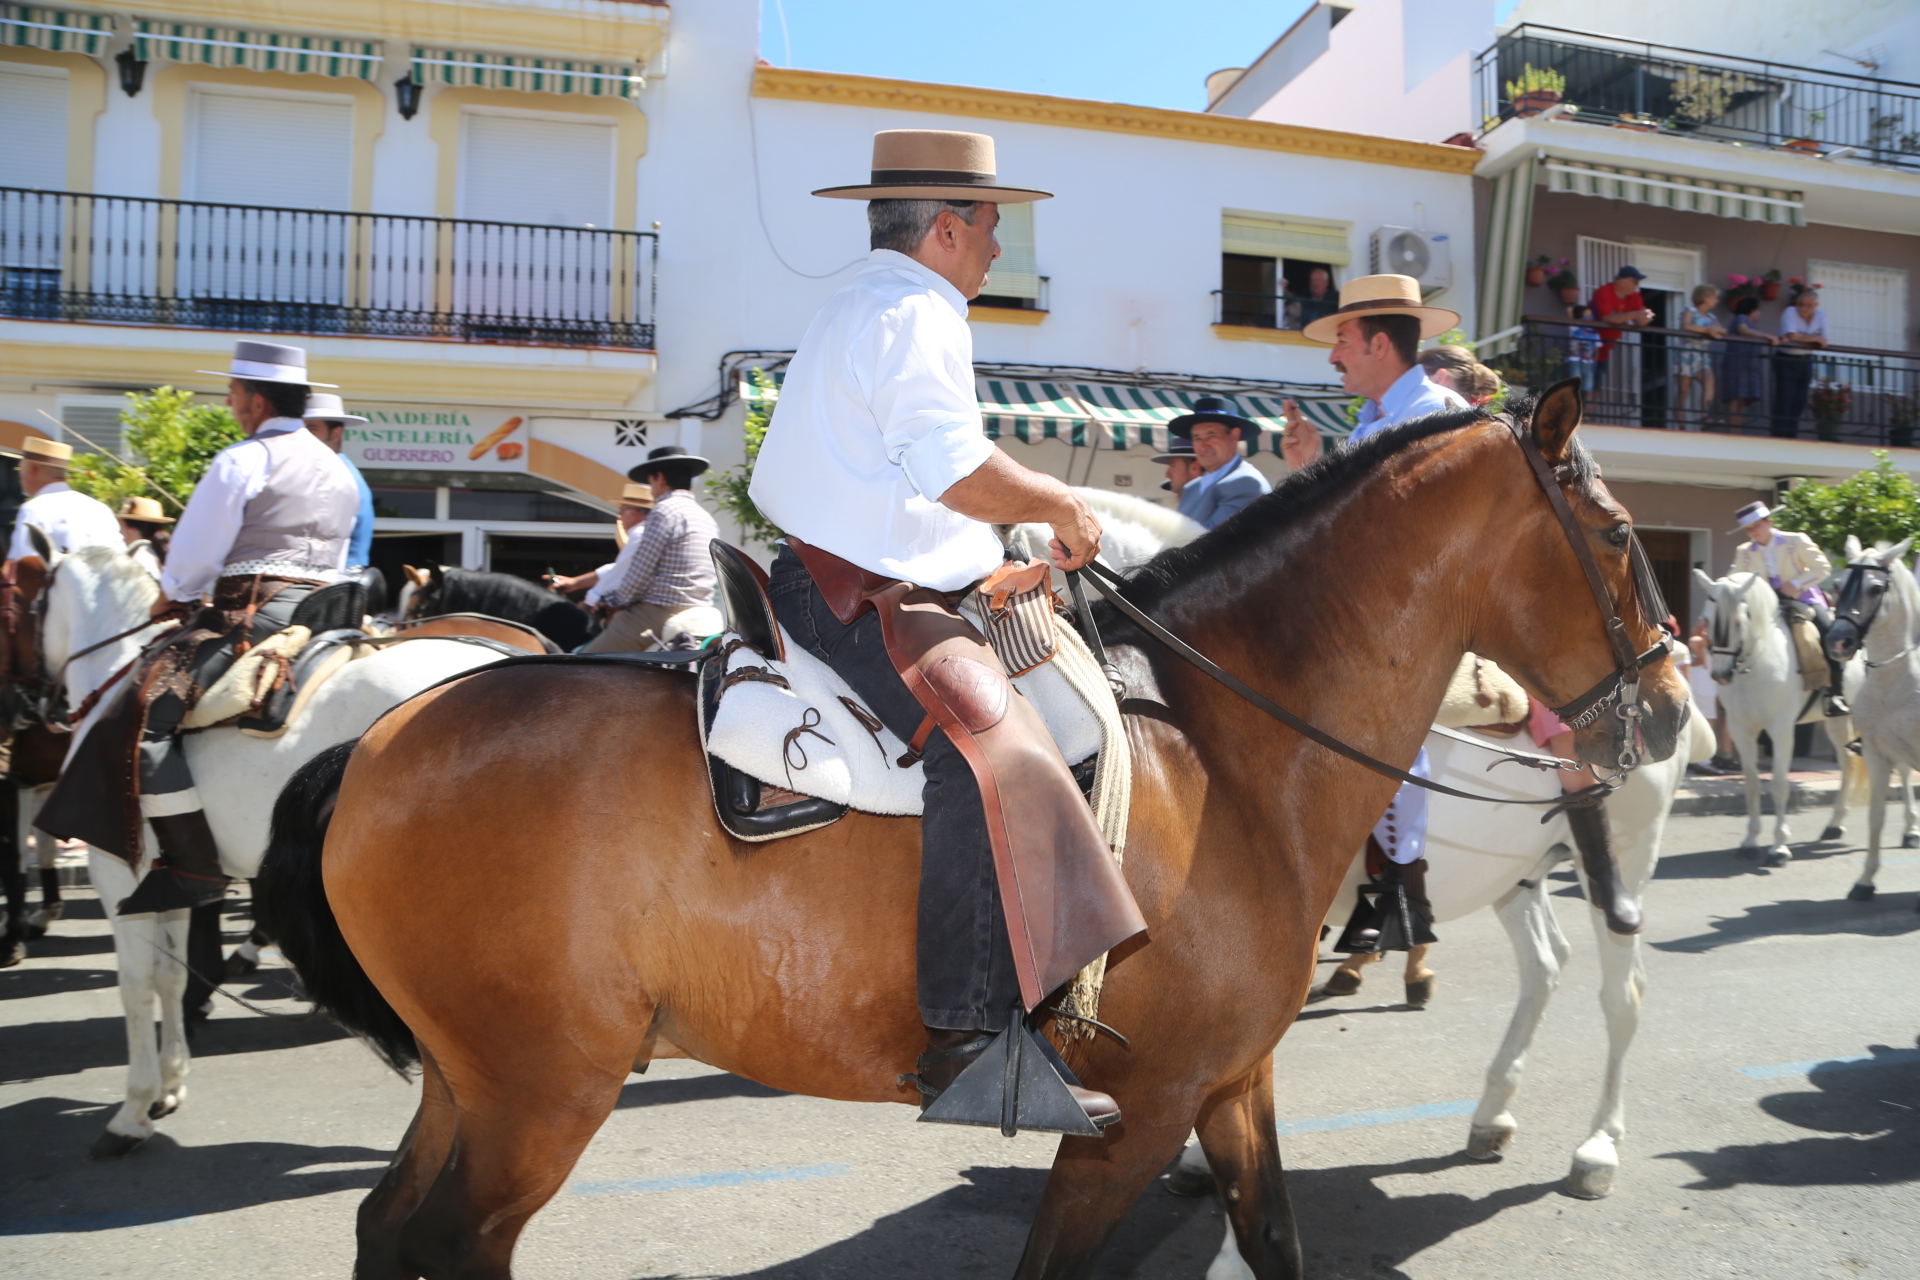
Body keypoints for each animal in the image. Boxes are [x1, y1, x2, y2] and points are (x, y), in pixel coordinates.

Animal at [43, 545, 510, 1159]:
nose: (34, 707)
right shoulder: (168, 885)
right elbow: (169, 977)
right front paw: (169, 1084)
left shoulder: (117, 872)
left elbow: (137, 986)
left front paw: (133, 1111)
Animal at [263, 387, 1689, 1280]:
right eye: (1618, 535)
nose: (1678, 702)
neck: (1227, 744)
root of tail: (383, 733)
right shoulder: (1137, 1114)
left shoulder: (1229, 1085)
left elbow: (1278, 1239)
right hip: (538, 1092)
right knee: (449, 1244)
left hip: (472, 1082)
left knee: (388, 1230)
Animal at [1697, 571, 1858, 867]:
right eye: (1706, 619)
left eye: (1740, 621)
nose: (1721, 675)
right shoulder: (1742, 728)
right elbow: (1751, 785)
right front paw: (1750, 842)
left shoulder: (1781, 729)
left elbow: (1780, 785)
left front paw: (1779, 847)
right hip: (1838, 720)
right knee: (1848, 764)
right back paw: (1835, 825)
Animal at [1812, 537, 1920, 905]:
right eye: (1839, 585)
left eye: (1875, 588)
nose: (1838, 642)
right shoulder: (1877, 753)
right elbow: (1876, 818)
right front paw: (1865, 882)